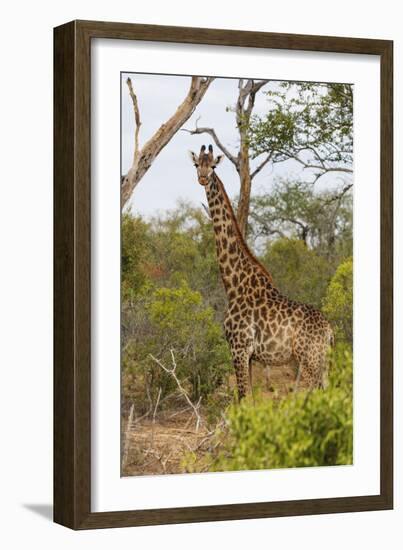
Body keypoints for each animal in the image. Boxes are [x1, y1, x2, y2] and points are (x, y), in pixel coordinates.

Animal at [189, 144, 334, 398]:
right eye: (197, 164)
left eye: (213, 165)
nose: (203, 178)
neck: (234, 285)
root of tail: (329, 331)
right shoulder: (249, 356)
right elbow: (249, 398)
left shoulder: (239, 349)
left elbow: (243, 397)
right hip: (321, 362)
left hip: (310, 360)